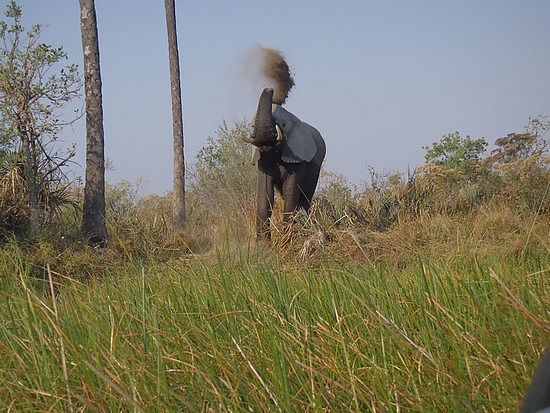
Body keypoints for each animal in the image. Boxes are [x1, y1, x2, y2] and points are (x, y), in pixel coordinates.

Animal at [246, 86, 328, 238]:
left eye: (283, 125)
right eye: (253, 126)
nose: (269, 88)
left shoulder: (298, 158)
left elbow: (290, 190)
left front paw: (287, 239)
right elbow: (265, 193)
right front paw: (263, 243)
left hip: (316, 170)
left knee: (304, 198)